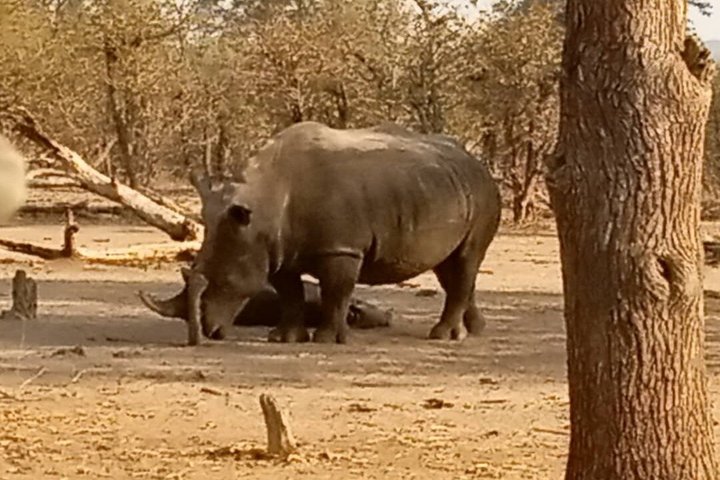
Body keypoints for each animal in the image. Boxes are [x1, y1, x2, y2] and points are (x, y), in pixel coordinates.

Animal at [140, 121, 501, 344]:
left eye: (226, 282)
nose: (209, 331)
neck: (263, 207)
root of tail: (476, 162)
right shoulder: (277, 250)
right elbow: (290, 293)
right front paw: (283, 339)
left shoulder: (340, 248)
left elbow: (334, 292)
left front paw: (327, 339)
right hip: (444, 188)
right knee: (449, 266)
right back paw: (474, 330)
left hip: (482, 193)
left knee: (467, 258)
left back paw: (442, 335)